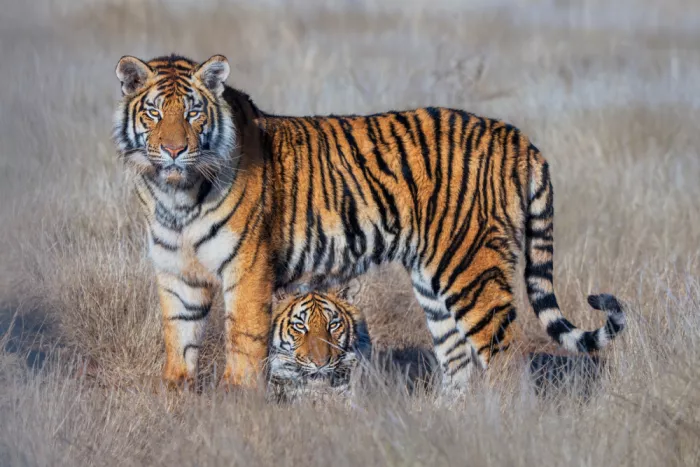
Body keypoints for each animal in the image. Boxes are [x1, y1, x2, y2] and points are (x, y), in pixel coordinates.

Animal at [112, 53, 626, 392]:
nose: (174, 149)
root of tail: (517, 136)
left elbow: (244, 350)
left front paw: (238, 415)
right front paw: (179, 413)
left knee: (503, 362)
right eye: (154, 112)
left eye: (193, 112)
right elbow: (178, 355)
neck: (175, 195)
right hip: (434, 281)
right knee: (457, 362)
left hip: (472, 271)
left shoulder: (248, 272)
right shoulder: (177, 275)